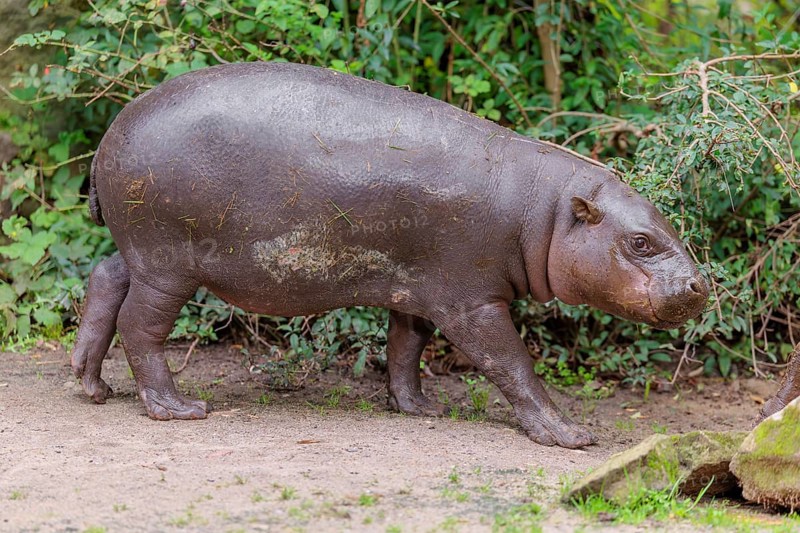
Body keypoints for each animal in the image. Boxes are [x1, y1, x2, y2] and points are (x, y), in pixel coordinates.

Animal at [70, 62, 708, 448]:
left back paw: (90, 386)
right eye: (641, 242)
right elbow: (511, 364)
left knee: (105, 278)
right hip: (168, 261)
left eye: (666, 225)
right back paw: (179, 409)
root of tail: (107, 136)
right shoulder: (472, 302)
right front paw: (568, 436)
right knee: (141, 324)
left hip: (143, 252)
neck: (543, 212)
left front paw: (418, 408)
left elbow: (406, 347)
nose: (700, 286)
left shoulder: (417, 287)